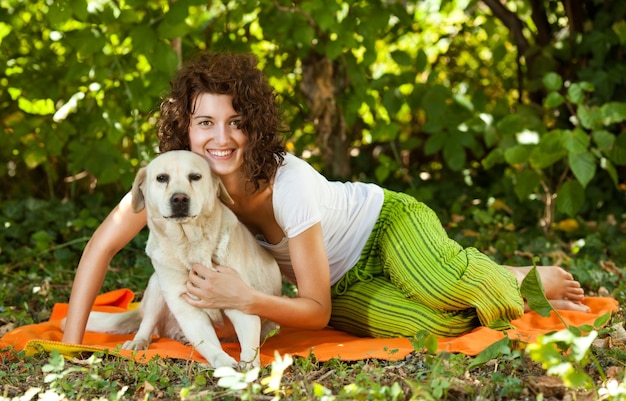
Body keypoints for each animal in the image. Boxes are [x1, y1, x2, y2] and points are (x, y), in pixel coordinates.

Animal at [76, 151, 282, 368]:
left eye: (195, 177)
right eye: (161, 178)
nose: (180, 198)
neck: (189, 245)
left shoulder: (239, 301)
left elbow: (249, 346)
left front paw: (249, 366)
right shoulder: (187, 309)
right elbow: (209, 345)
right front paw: (224, 363)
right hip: (156, 286)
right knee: (146, 324)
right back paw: (138, 342)